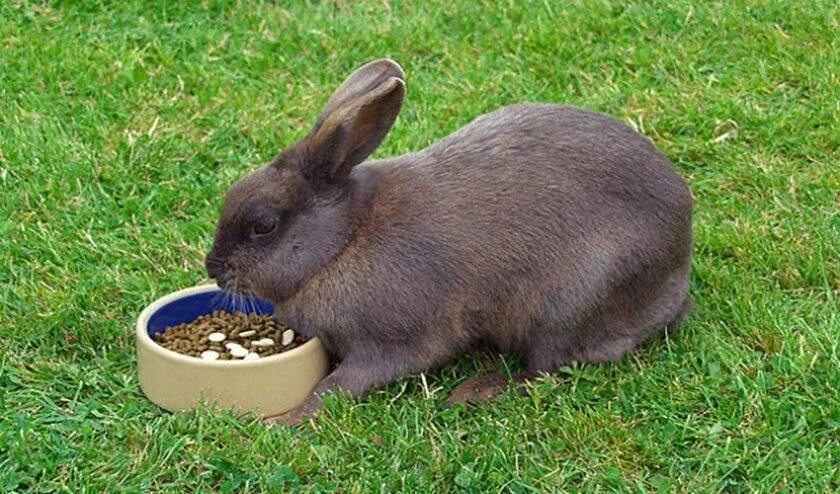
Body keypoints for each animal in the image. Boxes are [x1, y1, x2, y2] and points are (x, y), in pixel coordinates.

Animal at [203, 58, 688, 424]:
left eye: (263, 225)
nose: (214, 267)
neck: (345, 240)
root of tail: (680, 266)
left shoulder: (390, 344)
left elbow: (338, 385)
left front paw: (286, 419)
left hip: (566, 309)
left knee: (547, 368)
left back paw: (476, 391)